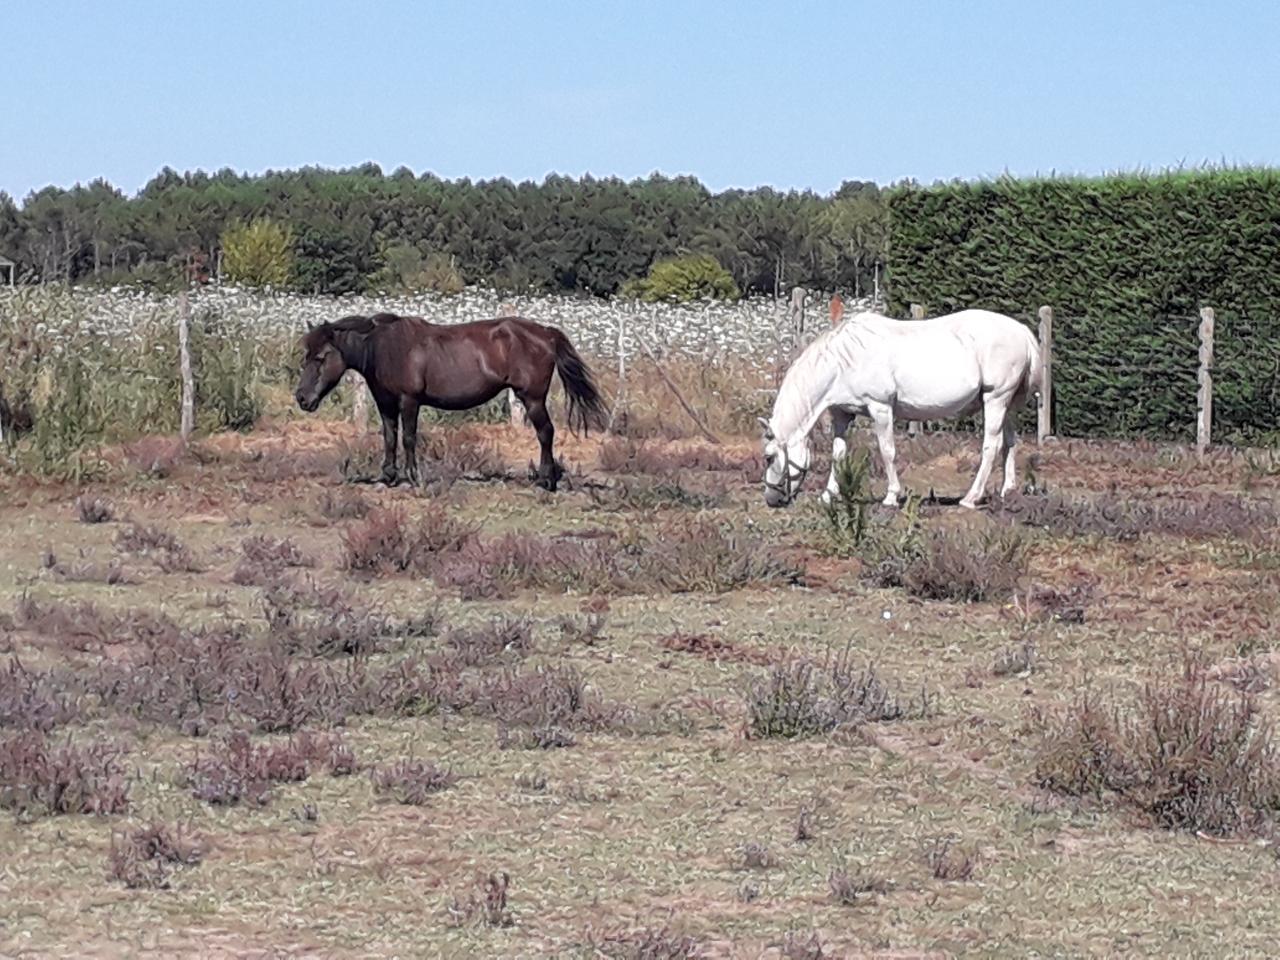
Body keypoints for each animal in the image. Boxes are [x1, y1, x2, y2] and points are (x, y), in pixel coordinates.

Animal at [294, 313, 604, 491]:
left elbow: (408, 438)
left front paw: (414, 477)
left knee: (545, 433)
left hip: (532, 399)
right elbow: (389, 437)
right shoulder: (385, 403)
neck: (384, 346)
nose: (301, 398)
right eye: (305, 355)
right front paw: (388, 476)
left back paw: (544, 481)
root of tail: (546, 333)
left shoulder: (409, 401)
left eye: (320, 357)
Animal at [757, 312, 1039, 512]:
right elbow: (838, 455)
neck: (844, 360)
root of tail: (1022, 331)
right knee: (1010, 443)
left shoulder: (880, 408)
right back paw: (1008, 492)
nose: (771, 499)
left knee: (991, 446)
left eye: (769, 457)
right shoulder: (842, 415)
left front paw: (892, 496)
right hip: (1008, 404)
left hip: (995, 399)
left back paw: (971, 498)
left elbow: (887, 451)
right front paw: (828, 496)